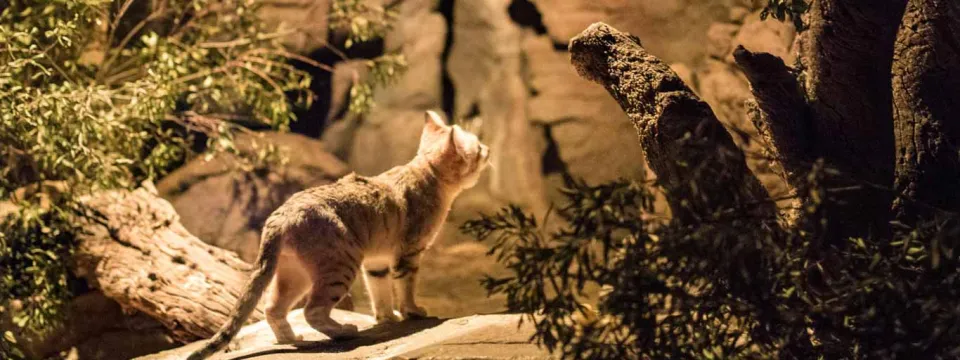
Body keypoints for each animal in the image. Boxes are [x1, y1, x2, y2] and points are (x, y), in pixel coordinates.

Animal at [188, 111, 488, 358]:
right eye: (477, 146)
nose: (487, 148)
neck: (428, 173)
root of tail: (280, 216)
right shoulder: (409, 252)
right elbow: (405, 286)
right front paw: (412, 312)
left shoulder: (376, 261)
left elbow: (379, 290)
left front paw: (386, 318)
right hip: (341, 264)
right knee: (312, 310)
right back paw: (343, 330)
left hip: (294, 272)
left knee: (273, 308)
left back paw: (293, 339)